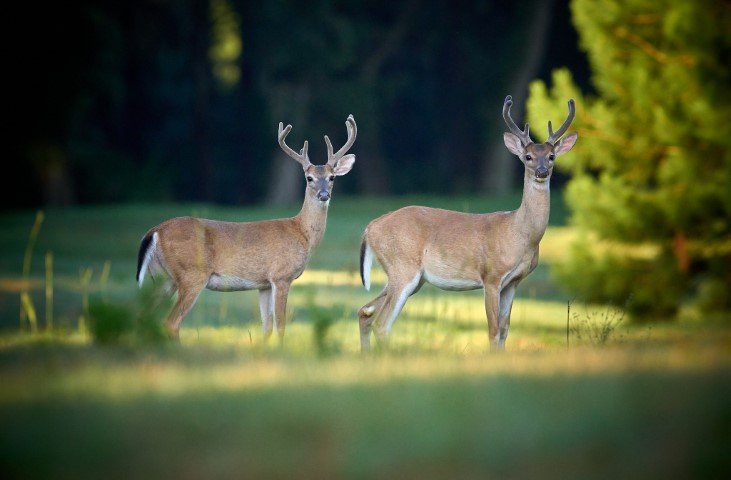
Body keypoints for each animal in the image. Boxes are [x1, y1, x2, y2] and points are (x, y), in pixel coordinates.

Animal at [136, 114, 358, 340]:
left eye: (332, 177)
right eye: (309, 178)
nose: (324, 195)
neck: (301, 233)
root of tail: (155, 231)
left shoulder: (264, 284)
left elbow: (266, 327)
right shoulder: (281, 276)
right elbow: (280, 326)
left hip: (163, 278)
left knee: (144, 316)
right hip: (192, 274)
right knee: (170, 322)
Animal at [358, 96, 576, 352]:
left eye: (552, 156)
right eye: (528, 157)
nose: (542, 171)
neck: (518, 233)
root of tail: (370, 228)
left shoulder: (513, 282)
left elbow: (505, 331)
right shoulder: (491, 276)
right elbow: (493, 331)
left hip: (410, 277)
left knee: (365, 311)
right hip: (403, 267)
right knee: (382, 322)